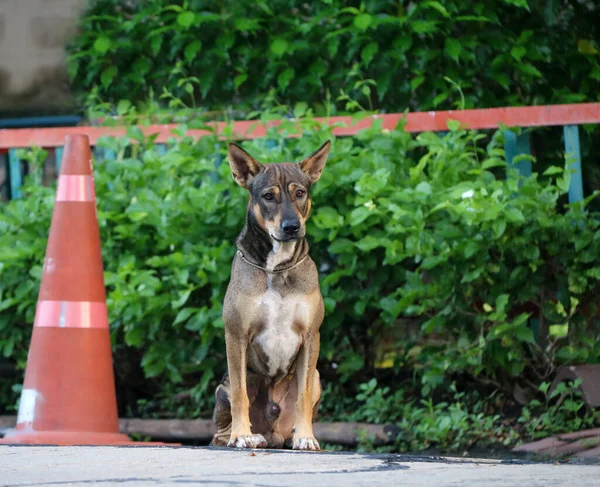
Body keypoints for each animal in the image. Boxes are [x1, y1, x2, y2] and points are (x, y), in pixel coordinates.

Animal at [212, 139, 332, 452]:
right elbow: (240, 393)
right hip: (222, 388)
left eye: (300, 193)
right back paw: (243, 436)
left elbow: (303, 396)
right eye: (268, 196)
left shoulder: (311, 336)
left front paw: (306, 436)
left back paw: (291, 436)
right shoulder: (236, 335)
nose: (292, 227)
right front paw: (242, 435)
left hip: (317, 376)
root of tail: (272, 434)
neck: (277, 267)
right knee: (222, 425)